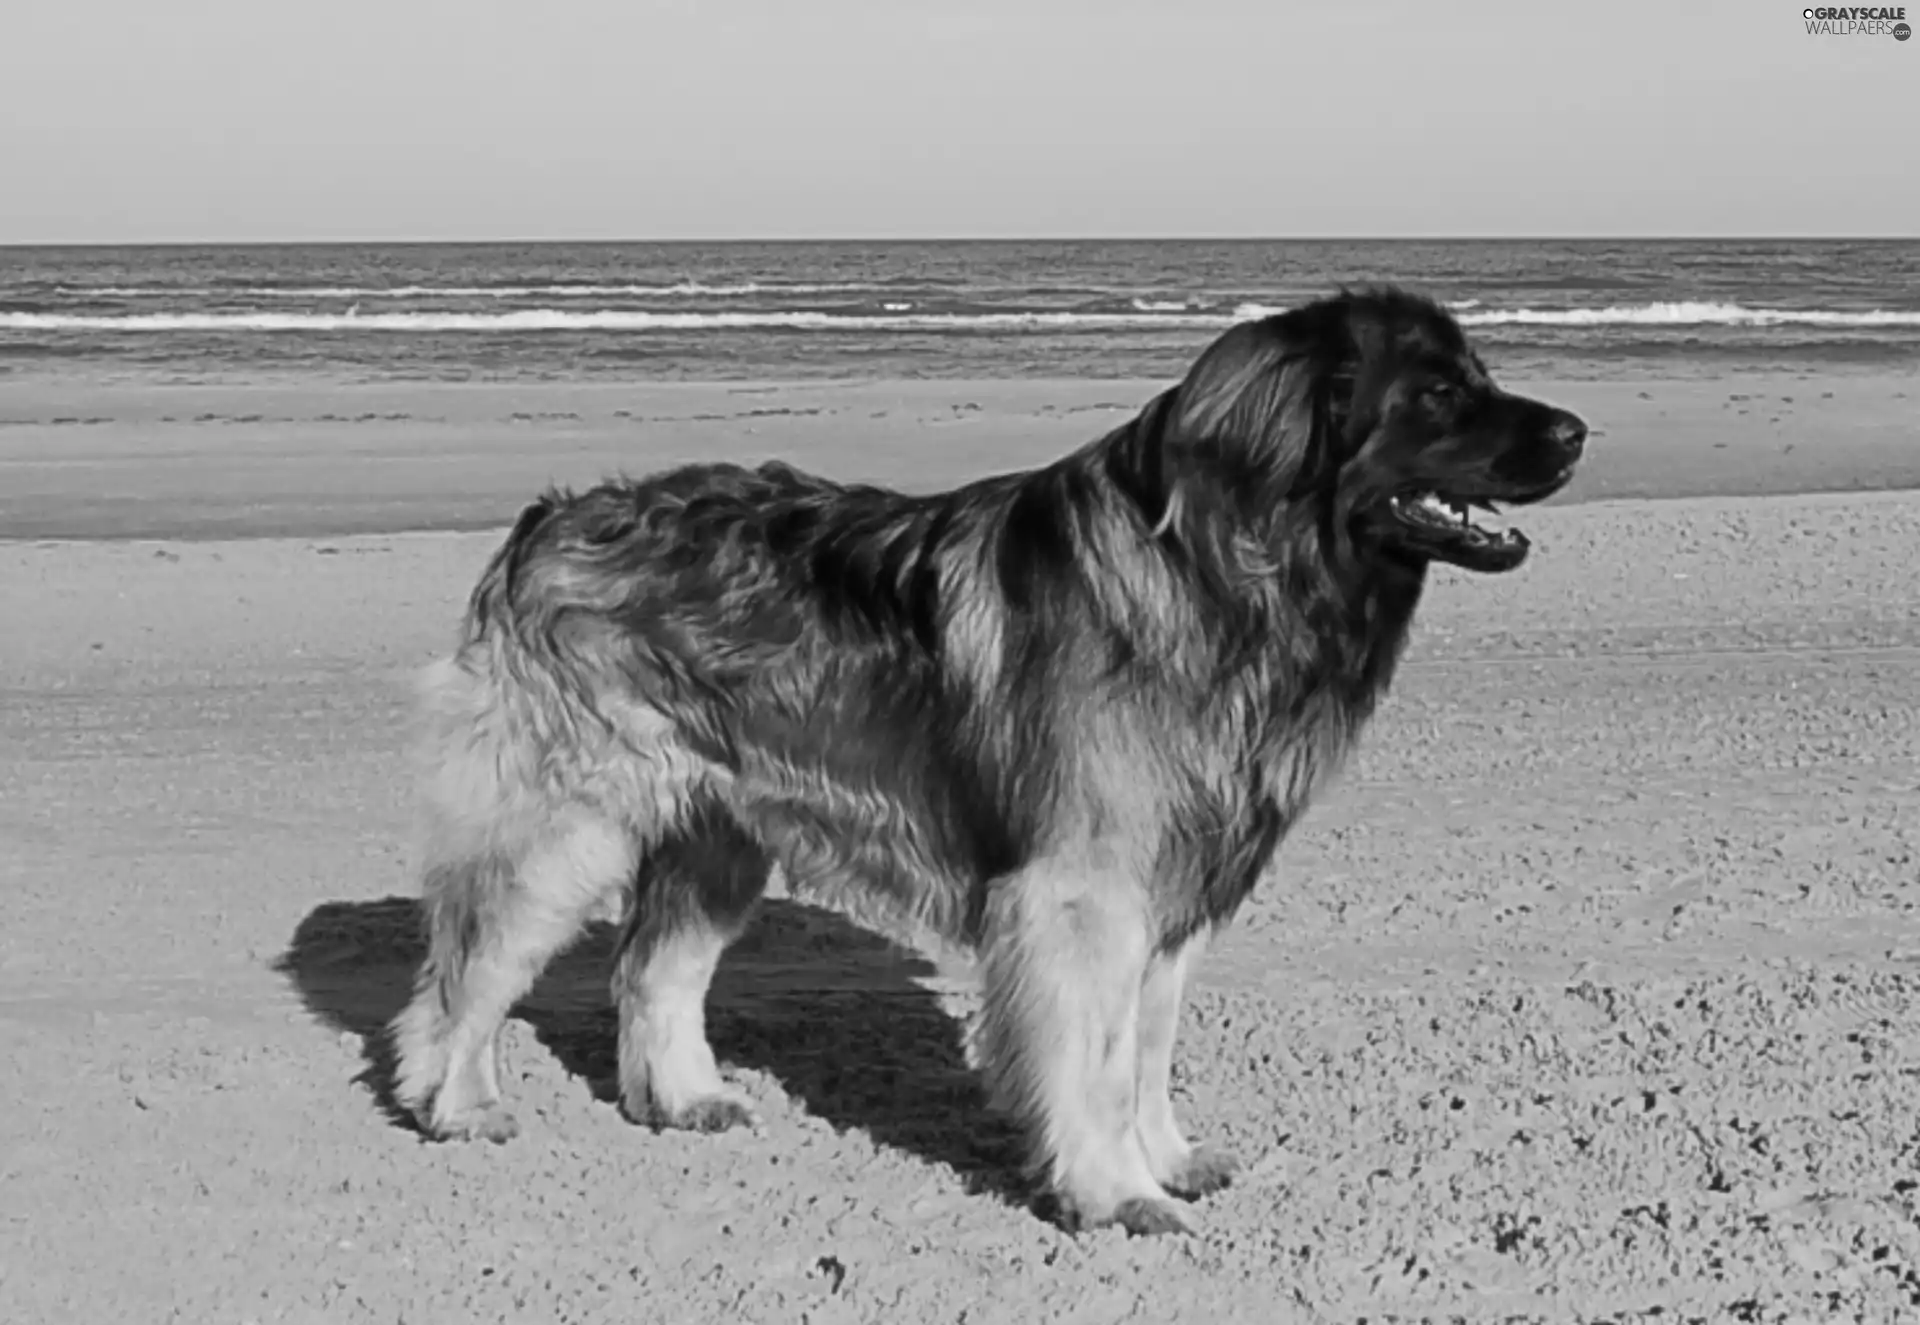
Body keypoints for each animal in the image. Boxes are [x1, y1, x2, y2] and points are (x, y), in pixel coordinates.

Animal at [385, 284, 1589, 1236]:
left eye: (1476, 375)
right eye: (1437, 392)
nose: (1577, 431)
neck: (1230, 571)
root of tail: (543, 522)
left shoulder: (1171, 892)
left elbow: (1146, 1048)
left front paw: (1164, 1156)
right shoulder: (1085, 896)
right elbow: (1094, 1059)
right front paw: (1114, 1189)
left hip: (717, 829)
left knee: (653, 968)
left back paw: (682, 1099)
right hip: (562, 825)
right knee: (465, 973)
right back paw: (457, 1104)